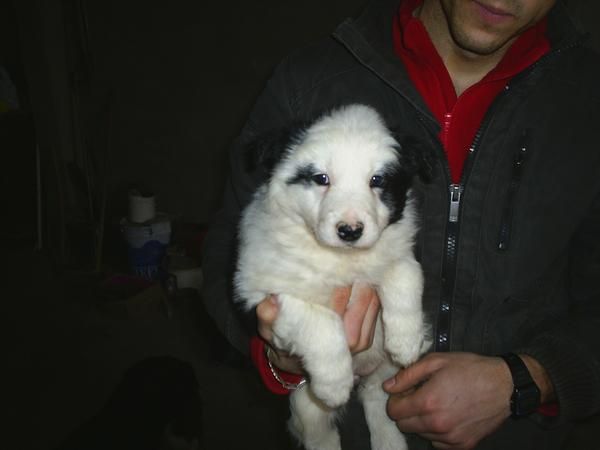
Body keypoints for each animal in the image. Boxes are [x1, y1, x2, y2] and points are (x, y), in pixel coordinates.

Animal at [233, 104, 432, 450]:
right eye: (320, 178)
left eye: (377, 180)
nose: (350, 230)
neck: (343, 258)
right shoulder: (266, 289)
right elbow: (320, 321)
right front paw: (334, 382)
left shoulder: (398, 251)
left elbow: (405, 276)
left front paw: (407, 340)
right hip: (305, 406)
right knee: (319, 431)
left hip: (384, 374)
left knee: (378, 402)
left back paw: (390, 440)